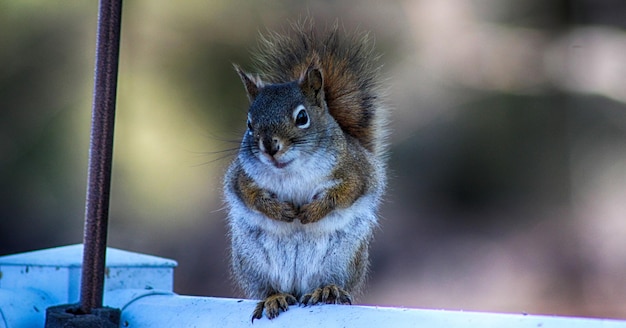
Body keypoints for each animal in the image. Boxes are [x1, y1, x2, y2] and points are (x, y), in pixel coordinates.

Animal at [222, 20, 388, 320]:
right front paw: (281, 211)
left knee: (330, 280)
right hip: (253, 261)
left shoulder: (354, 170)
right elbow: (250, 195)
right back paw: (274, 297)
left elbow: (345, 192)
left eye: (302, 117)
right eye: (249, 123)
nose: (269, 146)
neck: (291, 170)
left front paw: (312, 212)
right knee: (269, 287)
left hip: (342, 258)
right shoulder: (242, 177)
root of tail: (298, 288)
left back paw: (327, 290)